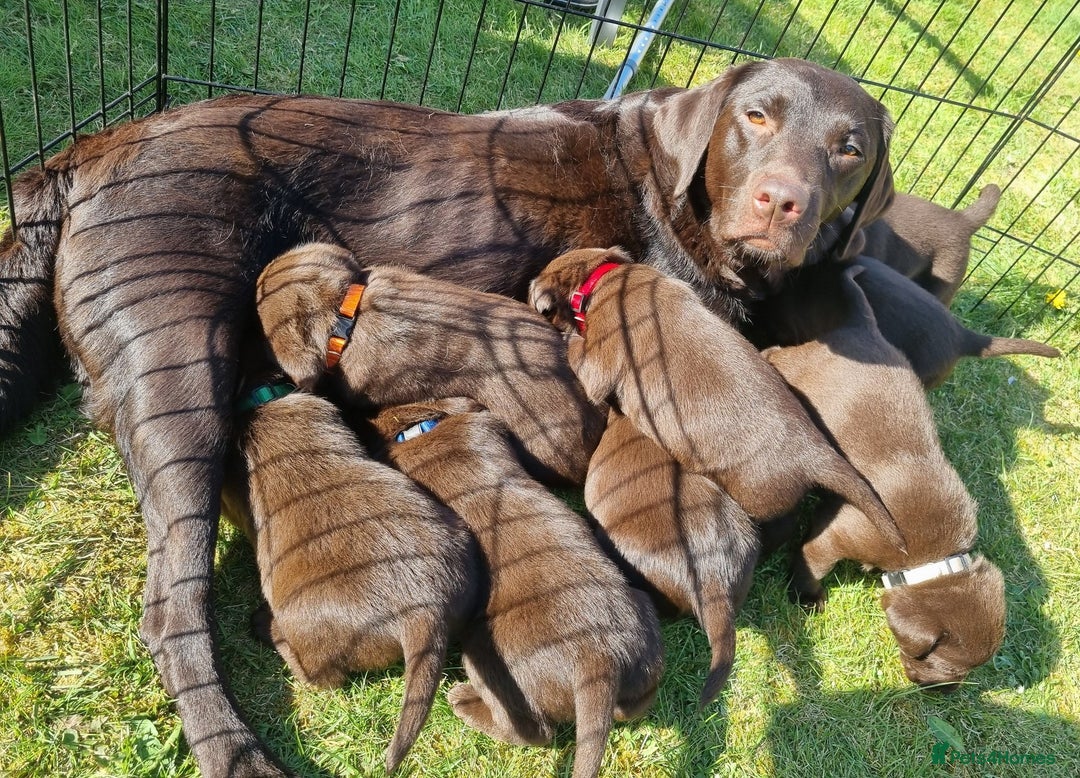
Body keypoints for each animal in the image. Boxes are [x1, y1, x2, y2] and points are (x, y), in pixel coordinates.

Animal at [365, 399, 664, 778]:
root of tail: (599, 660)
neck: (423, 431)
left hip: (484, 654)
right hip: (644, 621)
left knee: (533, 730)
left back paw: (462, 701)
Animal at [529, 247, 906, 556]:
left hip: (758, 496)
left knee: (783, 525)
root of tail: (815, 453)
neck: (601, 278)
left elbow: (579, 352)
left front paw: (569, 334)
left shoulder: (599, 364)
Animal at [763, 265, 1006, 688]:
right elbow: (812, 561)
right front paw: (807, 598)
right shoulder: (837, 536)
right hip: (798, 368)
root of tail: (862, 325)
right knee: (775, 354)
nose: (943, 693)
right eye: (939, 663)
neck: (936, 559)